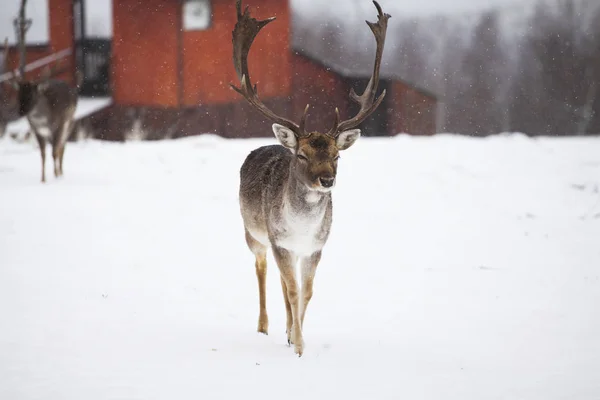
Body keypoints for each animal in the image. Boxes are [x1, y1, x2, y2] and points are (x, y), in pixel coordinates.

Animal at [232, 0, 392, 356]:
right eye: (303, 155)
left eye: (337, 156)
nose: (327, 180)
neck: (301, 228)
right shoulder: (279, 241)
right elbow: (292, 292)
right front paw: (299, 347)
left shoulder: (316, 246)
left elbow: (305, 293)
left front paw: (296, 336)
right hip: (254, 234)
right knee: (262, 269)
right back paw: (263, 327)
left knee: (282, 282)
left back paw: (286, 327)